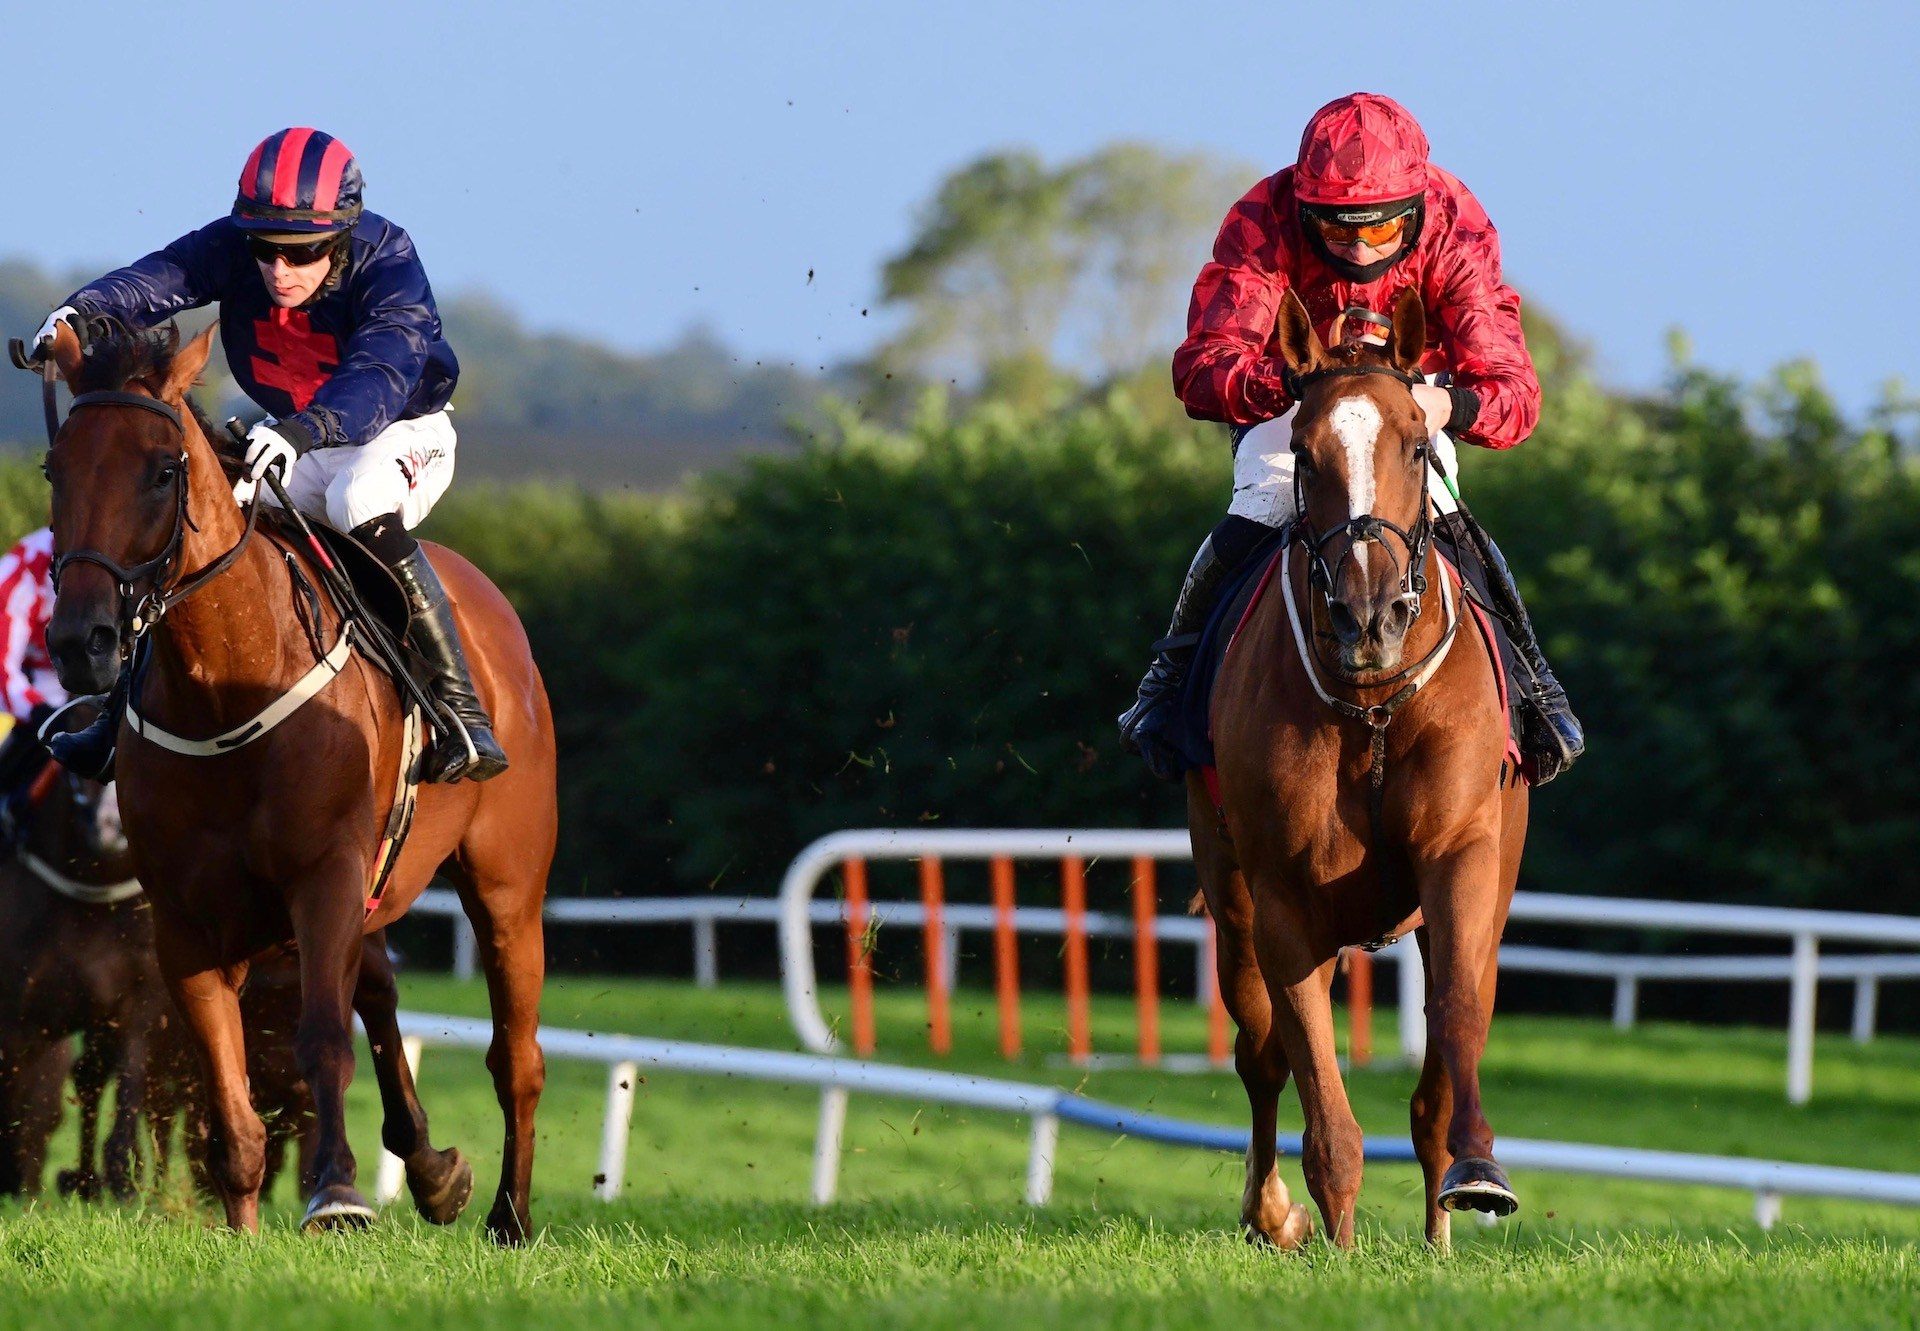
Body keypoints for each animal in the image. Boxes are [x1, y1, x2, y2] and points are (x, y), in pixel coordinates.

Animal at [37, 318, 556, 1236]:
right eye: (55, 469)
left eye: (161, 468)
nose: (81, 641)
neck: (224, 688)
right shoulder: (189, 921)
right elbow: (227, 1086)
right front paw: (244, 1227)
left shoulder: (323, 878)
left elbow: (319, 1038)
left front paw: (338, 1193)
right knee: (380, 988)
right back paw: (435, 1172)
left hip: (506, 886)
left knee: (514, 1055)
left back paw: (509, 1214)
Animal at [1198, 288, 1528, 1244]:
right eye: (1305, 454)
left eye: (1418, 444)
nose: (1368, 616)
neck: (1373, 705)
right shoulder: (1281, 898)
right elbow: (1318, 1094)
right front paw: (1336, 1241)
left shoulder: (1462, 859)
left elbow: (1453, 1029)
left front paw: (1473, 1178)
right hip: (1230, 893)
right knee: (1260, 1050)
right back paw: (1271, 1213)